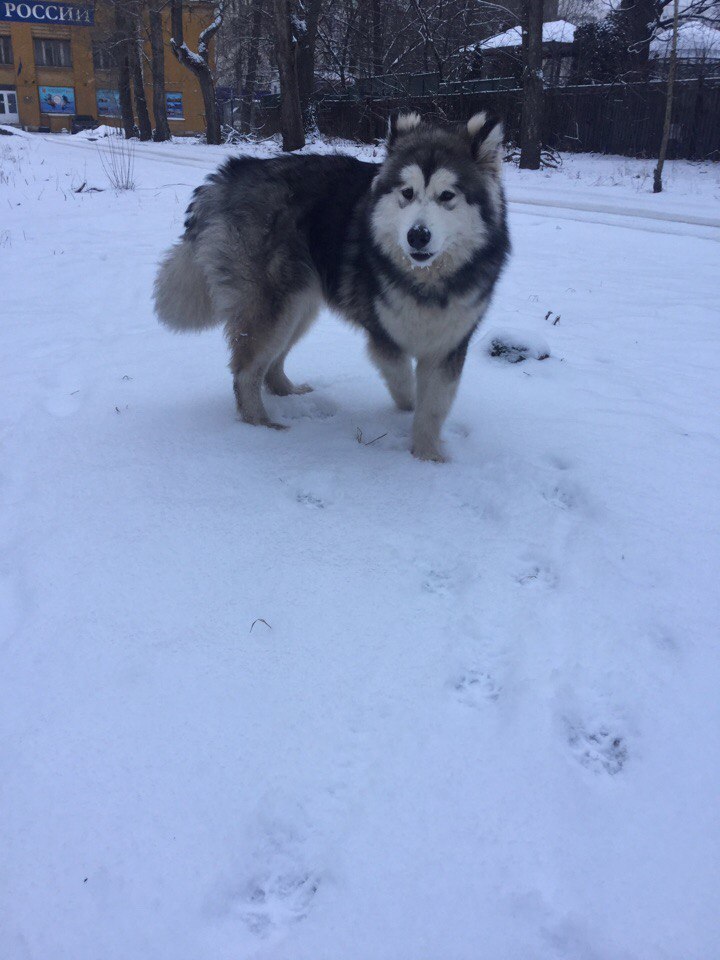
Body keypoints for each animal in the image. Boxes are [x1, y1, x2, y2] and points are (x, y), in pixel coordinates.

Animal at [154, 109, 510, 462]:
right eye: (407, 193)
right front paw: (410, 415)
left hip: (299, 306)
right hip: (272, 308)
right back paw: (262, 425)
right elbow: (403, 381)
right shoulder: (382, 335)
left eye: (447, 195)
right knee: (246, 370)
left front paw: (428, 457)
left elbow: (433, 406)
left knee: (272, 361)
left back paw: (287, 391)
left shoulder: (449, 343)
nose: (417, 235)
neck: (425, 280)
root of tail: (229, 174)